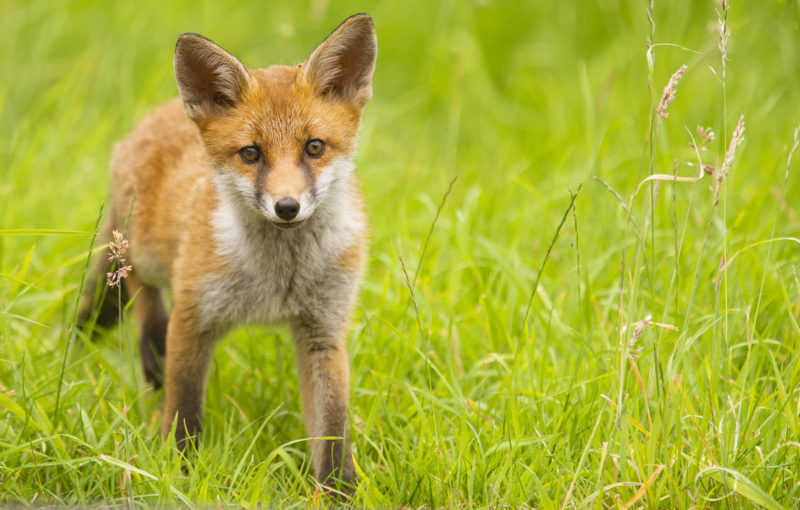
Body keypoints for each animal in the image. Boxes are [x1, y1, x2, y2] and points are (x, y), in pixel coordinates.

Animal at [76, 12, 376, 490]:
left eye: (314, 147)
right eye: (250, 153)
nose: (287, 207)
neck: (278, 281)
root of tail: (160, 112)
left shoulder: (323, 333)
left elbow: (332, 433)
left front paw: (338, 493)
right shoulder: (193, 316)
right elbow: (183, 412)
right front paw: (179, 473)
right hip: (140, 253)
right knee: (143, 300)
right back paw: (149, 358)